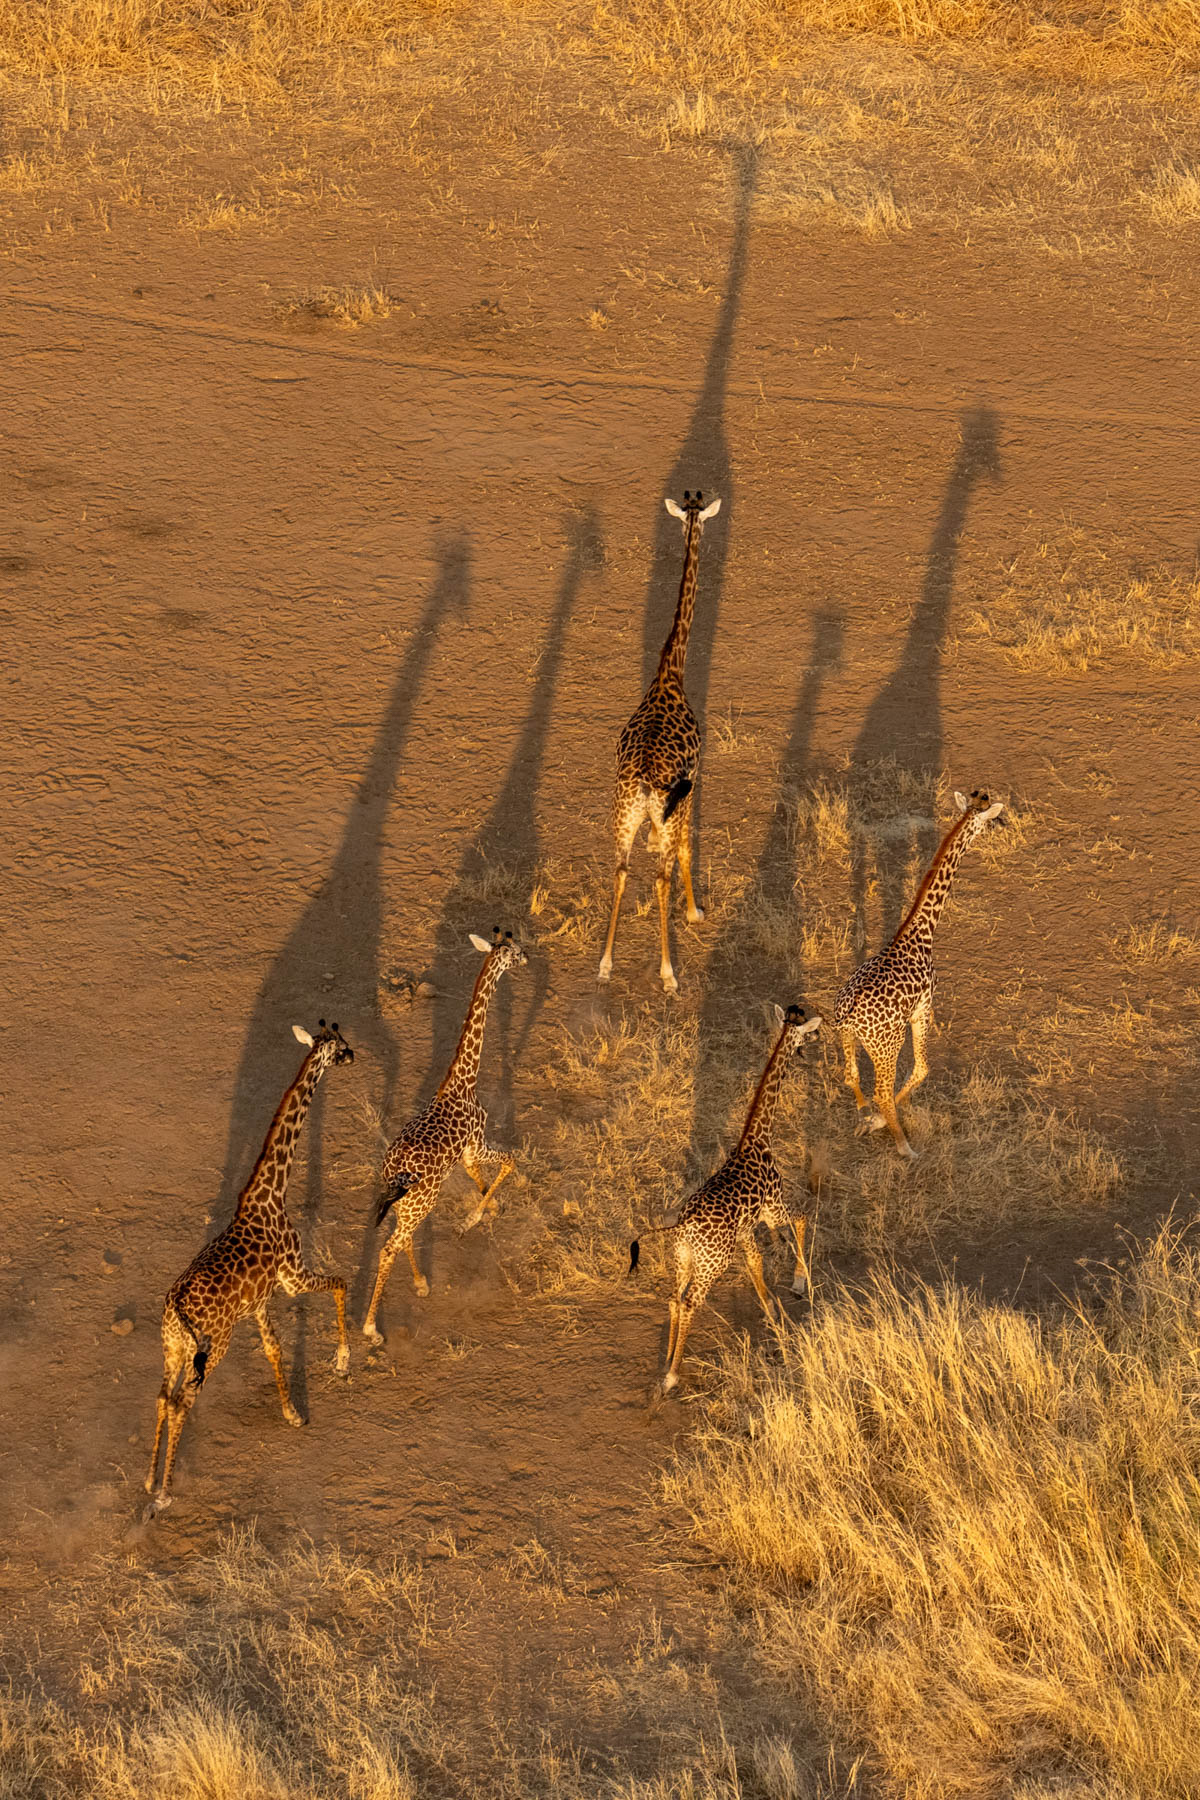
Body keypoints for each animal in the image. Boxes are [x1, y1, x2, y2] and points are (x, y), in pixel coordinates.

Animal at [144, 1020, 355, 1517]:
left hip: (173, 1348)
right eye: (339, 1045)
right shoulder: (293, 1277)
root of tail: (175, 1310)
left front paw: (293, 1414)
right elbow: (341, 1283)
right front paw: (342, 1361)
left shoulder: (259, 1302)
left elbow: (274, 1350)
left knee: (161, 1396)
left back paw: (146, 1481)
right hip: (212, 1344)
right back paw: (164, 1491)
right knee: (181, 1403)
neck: (272, 1192)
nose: (354, 1055)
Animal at [362, 928, 527, 1346]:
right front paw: (472, 1219)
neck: (464, 1080)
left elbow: (480, 1176)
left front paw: (491, 1208)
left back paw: (422, 1284)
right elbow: (511, 1159)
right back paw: (371, 1329)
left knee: (400, 1240)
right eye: (512, 950)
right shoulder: (478, 1143)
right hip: (420, 1203)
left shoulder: (468, 1153)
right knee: (388, 1248)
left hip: (406, 1206)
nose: (528, 957)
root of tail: (394, 1176)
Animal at [629, 1004, 821, 1394]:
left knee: (674, 1299)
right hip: (712, 1265)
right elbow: (800, 1219)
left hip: (683, 1260)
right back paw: (672, 1375)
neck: (757, 1139)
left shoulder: (747, 1230)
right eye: (807, 1032)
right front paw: (798, 1283)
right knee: (689, 1303)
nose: (820, 1037)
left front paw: (771, 1310)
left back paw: (667, 1362)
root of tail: (684, 1229)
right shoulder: (773, 1209)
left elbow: (756, 1265)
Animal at [834, 789, 1007, 1160]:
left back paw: (864, 1114)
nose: (1002, 824)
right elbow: (923, 1068)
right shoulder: (924, 1008)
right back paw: (903, 1145)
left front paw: (870, 1120)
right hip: (887, 1045)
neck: (921, 931)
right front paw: (882, 1123)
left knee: (851, 1075)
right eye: (990, 816)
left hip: (847, 1037)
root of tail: (850, 1016)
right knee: (882, 1091)